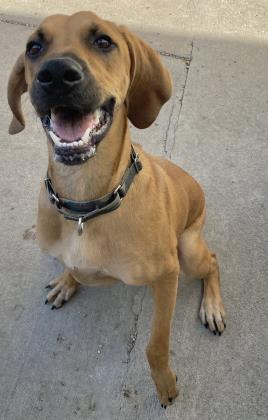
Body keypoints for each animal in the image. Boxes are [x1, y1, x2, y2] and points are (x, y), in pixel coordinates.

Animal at [7, 11, 226, 408]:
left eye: (103, 41)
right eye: (34, 46)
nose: (57, 73)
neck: (85, 204)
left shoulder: (168, 275)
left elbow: (156, 346)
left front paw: (164, 383)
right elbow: (72, 266)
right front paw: (68, 281)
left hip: (190, 251)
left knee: (213, 261)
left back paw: (213, 307)